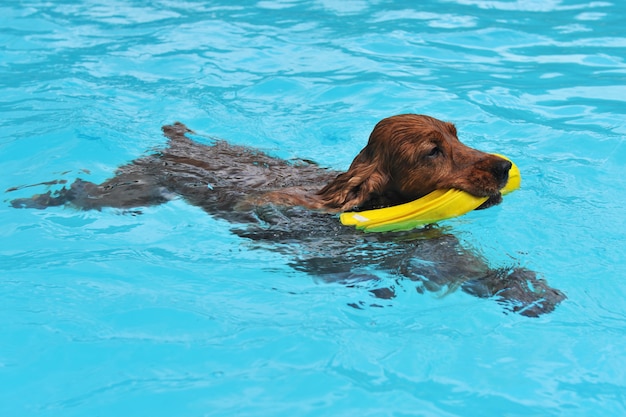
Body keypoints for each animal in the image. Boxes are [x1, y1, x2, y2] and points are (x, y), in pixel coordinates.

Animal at [7, 114, 564, 316]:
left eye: (456, 133)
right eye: (432, 151)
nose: (504, 166)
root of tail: (180, 141)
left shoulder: (438, 249)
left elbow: (481, 271)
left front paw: (531, 291)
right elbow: (349, 273)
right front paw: (374, 290)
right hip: (131, 192)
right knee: (80, 191)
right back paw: (28, 200)